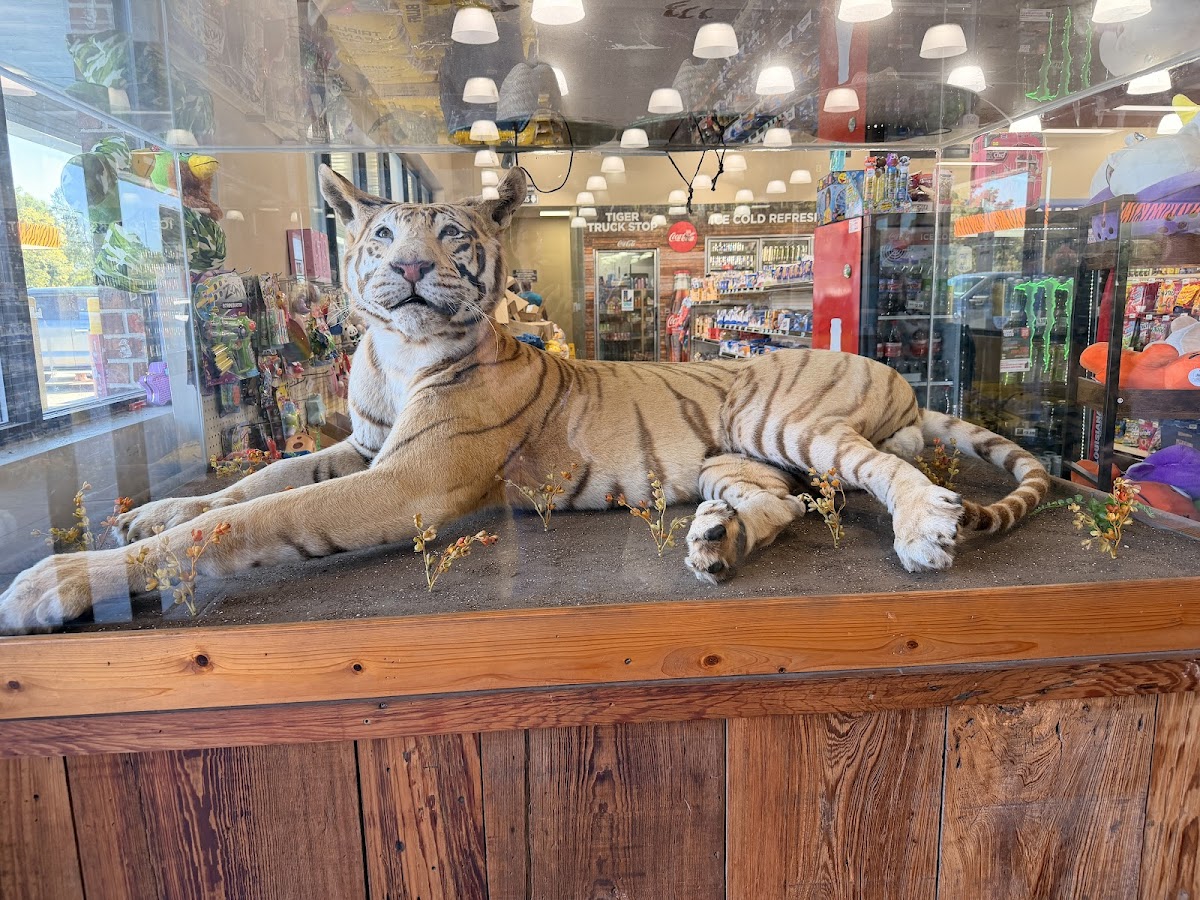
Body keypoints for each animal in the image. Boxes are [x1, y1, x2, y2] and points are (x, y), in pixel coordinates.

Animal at [0, 165, 1050, 633]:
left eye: (453, 235)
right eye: (381, 233)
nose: (409, 269)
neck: (395, 354)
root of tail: (897, 373)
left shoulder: (410, 477)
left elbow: (255, 518)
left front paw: (59, 580)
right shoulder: (365, 447)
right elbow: (256, 484)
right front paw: (149, 513)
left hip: (785, 416)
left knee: (884, 469)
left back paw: (923, 530)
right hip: (735, 452)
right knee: (782, 502)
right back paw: (717, 542)